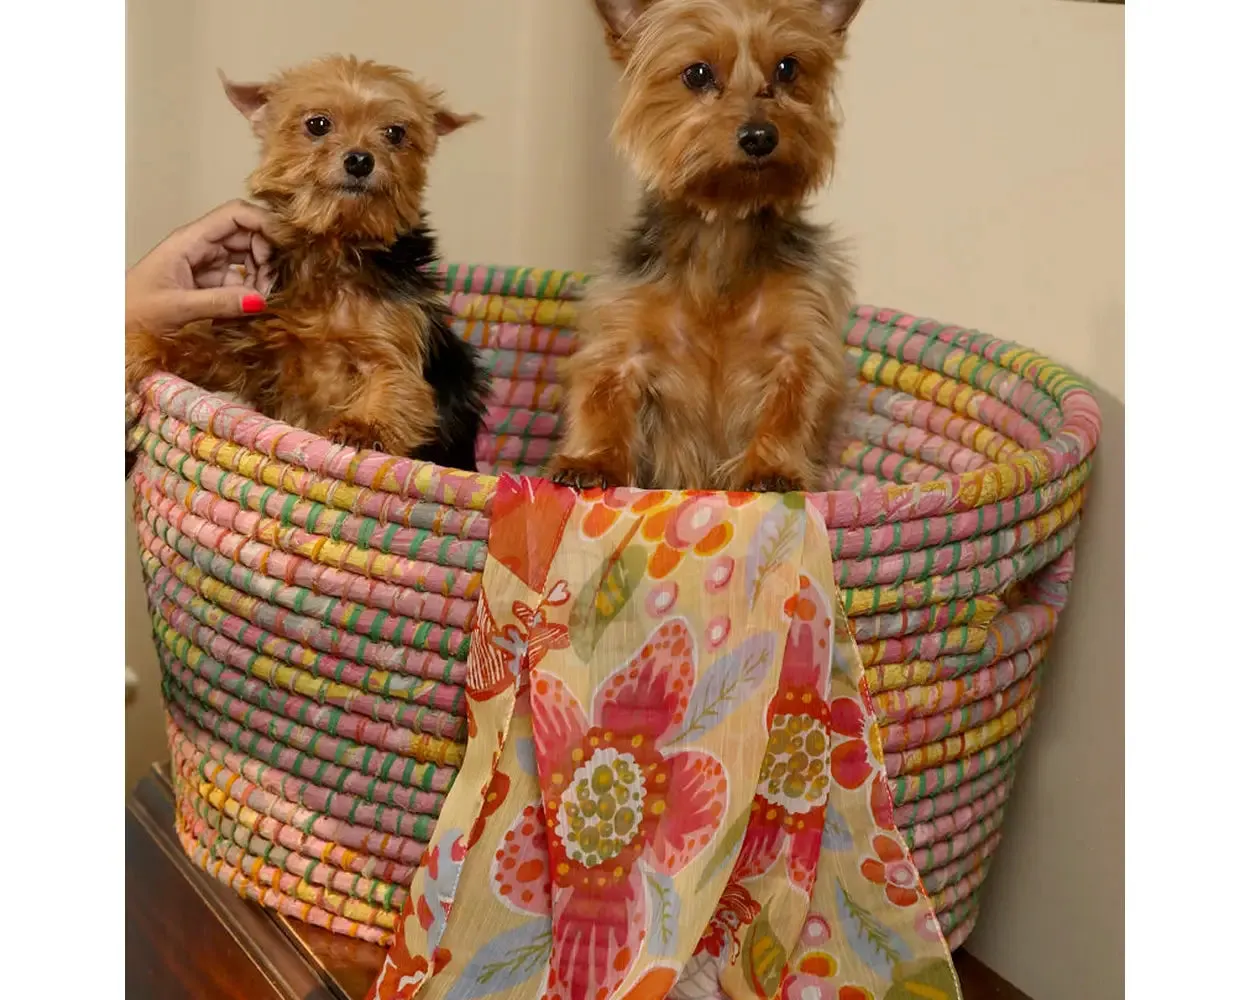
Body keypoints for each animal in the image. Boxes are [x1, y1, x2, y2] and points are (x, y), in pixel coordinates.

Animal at [125, 56, 487, 470]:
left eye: (395, 133)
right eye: (318, 124)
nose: (360, 160)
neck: (334, 244)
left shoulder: (394, 341)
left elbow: (396, 383)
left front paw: (361, 427)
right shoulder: (254, 350)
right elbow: (200, 347)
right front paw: (141, 343)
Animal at [552, 0, 865, 492]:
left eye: (788, 68)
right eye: (697, 74)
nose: (760, 136)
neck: (722, 230)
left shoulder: (802, 337)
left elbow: (792, 407)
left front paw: (772, 469)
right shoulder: (622, 342)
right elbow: (602, 399)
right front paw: (593, 462)